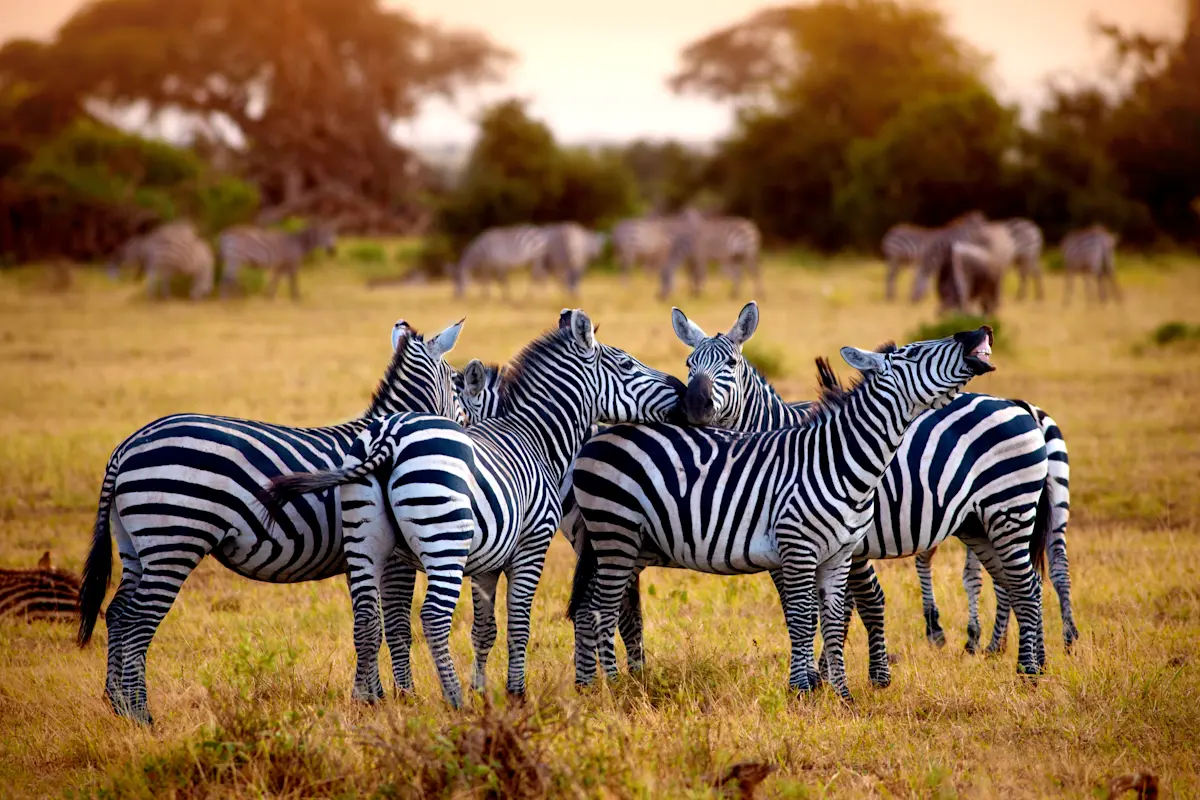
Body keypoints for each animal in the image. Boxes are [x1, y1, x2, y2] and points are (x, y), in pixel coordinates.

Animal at [76, 317, 468, 724]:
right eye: (458, 383)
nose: (468, 427)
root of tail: (126, 446)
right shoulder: (389, 558)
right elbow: (394, 624)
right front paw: (402, 699)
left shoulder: (360, 558)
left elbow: (368, 618)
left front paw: (374, 694)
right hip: (174, 539)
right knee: (138, 620)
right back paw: (141, 713)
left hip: (136, 544)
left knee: (118, 613)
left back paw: (117, 704)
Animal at [259, 310, 686, 706]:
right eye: (627, 365)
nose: (681, 390)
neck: (536, 437)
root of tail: (388, 437)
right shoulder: (532, 545)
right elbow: (519, 623)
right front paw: (515, 694)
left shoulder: (486, 562)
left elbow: (484, 629)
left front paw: (482, 692)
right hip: (443, 541)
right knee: (432, 617)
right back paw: (453, 701)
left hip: (365, 541)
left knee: (366, 617)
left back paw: (369, 703)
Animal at [595, 302, 1063, 683]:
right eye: (689, 363)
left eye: (729, 362)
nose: (693, 408)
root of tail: (1018, 404)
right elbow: (813, 608)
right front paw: (828, 674)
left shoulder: (850, 546)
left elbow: (849, 605)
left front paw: (844, 675)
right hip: (979, 524)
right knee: (1015, 582)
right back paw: (1019, 656)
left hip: (1010, 508)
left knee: (1027, 583)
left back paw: (1030, 668)